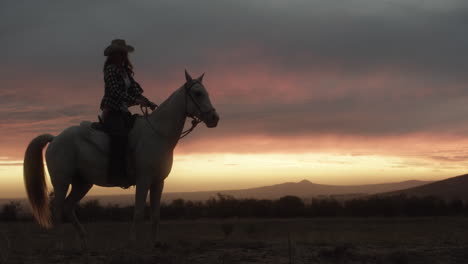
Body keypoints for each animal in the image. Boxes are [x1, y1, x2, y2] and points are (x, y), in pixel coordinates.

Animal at [22, 70, 219, 245]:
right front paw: (132, 242)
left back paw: (84, 241)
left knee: (68, 207)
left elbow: (156, 214)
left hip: (82, 182)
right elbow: (138, 212)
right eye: (198, 93)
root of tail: (55, 139)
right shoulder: (144, 180)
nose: (214, 118)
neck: (157, 133)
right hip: (62, 181)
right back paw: (60, 244)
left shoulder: (158, 182)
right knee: (57, 209)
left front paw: (155, 243)